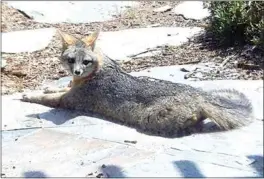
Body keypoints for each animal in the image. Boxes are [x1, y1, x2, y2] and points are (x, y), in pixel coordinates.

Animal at [22, 29, 254, 137]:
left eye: (85, 62)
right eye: (71, 61)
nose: (77, 71)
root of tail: (197, 92)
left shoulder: (67, 100)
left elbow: (46, 98)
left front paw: (28, 95)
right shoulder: (70, 89)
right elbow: (58, 87)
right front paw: (46, 86)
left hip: (150, 118)